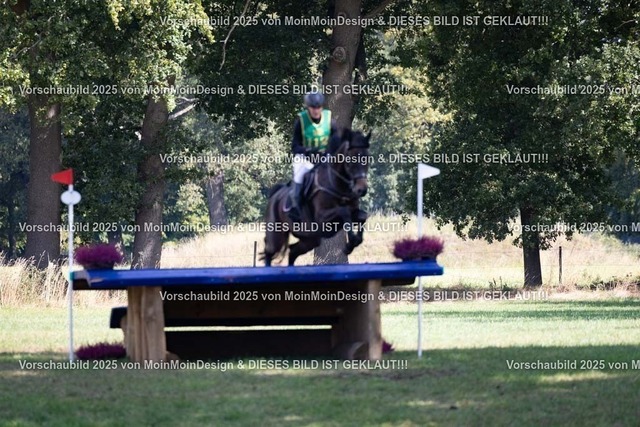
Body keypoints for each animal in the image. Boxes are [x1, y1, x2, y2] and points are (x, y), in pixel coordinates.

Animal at [262, 129, 371, 266]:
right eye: (351, 159)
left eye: (367, 158)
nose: (361, 190)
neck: (338, 185)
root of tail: (275, 195)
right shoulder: (322, 218)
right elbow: (344, 211)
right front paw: (350, 243)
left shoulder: (352, 213)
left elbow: (362, 216)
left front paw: (353, 243)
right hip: (277, 233)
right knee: (269, 252)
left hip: (310, 239)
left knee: (293, 251)